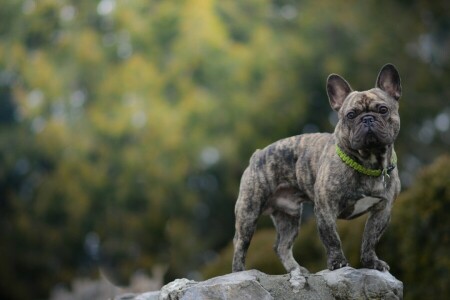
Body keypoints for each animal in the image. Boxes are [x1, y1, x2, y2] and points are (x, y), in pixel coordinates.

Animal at [232, 63, 400, 288]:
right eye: (351, 115)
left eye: (383, 110)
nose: (367, 119)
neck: (369, 162)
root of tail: (257, 154)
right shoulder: (326, 209)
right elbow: (332, 238)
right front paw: (338, 263)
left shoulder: (382, 210)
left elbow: (370, 238)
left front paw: (371, 262)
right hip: (248, 212)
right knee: (240, 244)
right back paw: (238, 274)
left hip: (289, 217)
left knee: (281, 246)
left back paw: (296, 270)